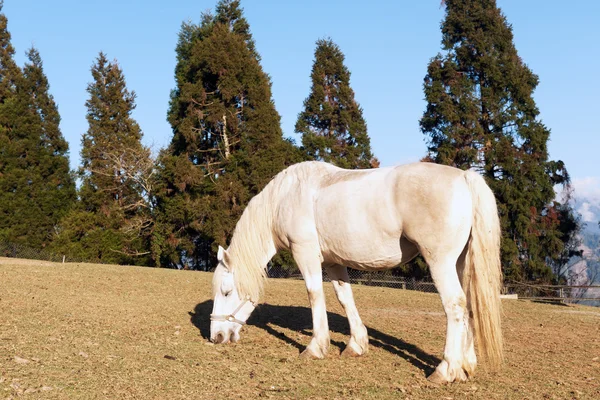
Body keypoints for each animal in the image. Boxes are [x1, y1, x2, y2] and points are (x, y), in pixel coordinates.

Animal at [211, 162, 502, 384]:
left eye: (227, 291)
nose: (216, 337)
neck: (286, 197)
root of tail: (463, 177)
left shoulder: (305, 254)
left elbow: (314, 295)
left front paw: (315, 347)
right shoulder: (333, 262)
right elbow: (345, 298)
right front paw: (356, 345)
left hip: (440, 262)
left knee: (455, 306)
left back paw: (445, 370)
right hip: (460, 264)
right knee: (468, 306)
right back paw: (465, 367)